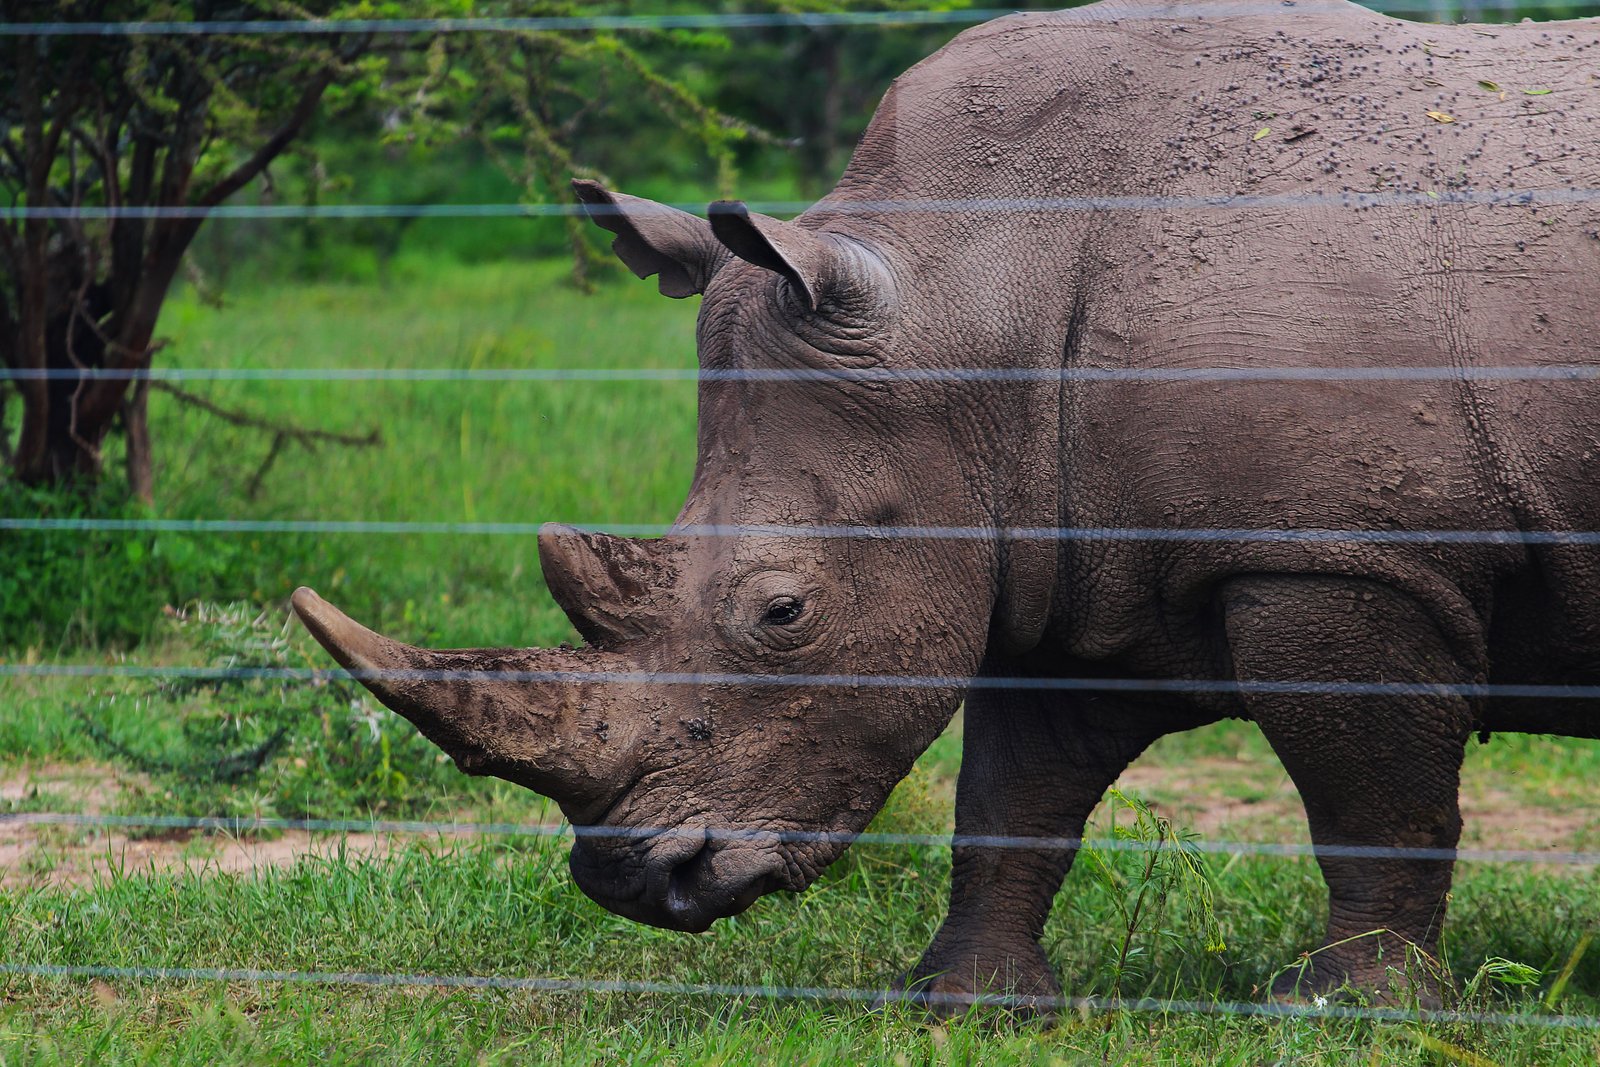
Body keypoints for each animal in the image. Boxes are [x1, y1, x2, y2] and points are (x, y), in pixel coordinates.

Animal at [294, 0, 1600, 1007]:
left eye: (783, 613)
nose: (637, 883)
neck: (973, 292)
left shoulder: (1338, 549)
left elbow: (1369, 798)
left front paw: (1349, 1008)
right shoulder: (1057, 547)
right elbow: (1014, 791)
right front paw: (966, 1000)